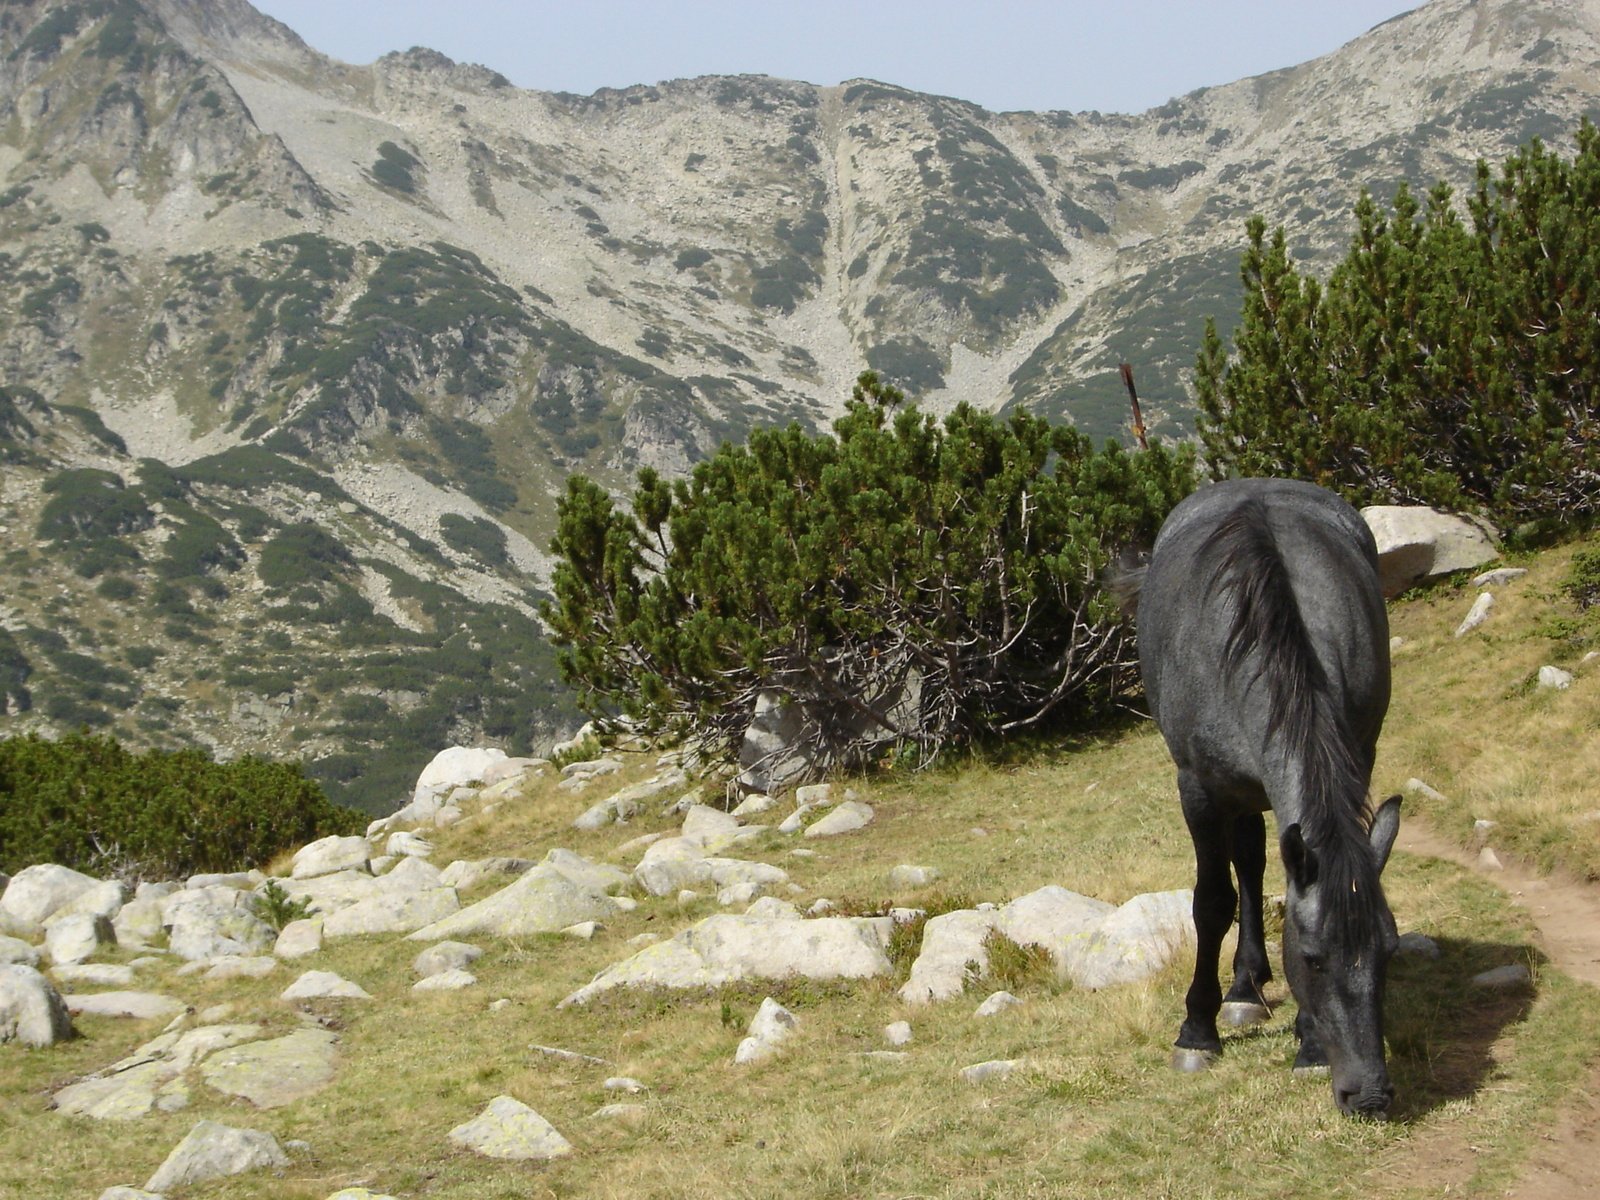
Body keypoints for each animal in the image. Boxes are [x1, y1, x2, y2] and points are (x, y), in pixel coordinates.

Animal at [1126, 480, 1401, 1120]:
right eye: (1315, 957)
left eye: (1389, 953)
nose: (1370, 1095)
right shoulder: (1199, 790)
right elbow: (1211, 903)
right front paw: (1196, 1032)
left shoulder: (1356, 760)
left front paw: (1309, 1045)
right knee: (1245, 868)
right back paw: (1241, 990)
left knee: (1254, 862)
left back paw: (1249, 982)